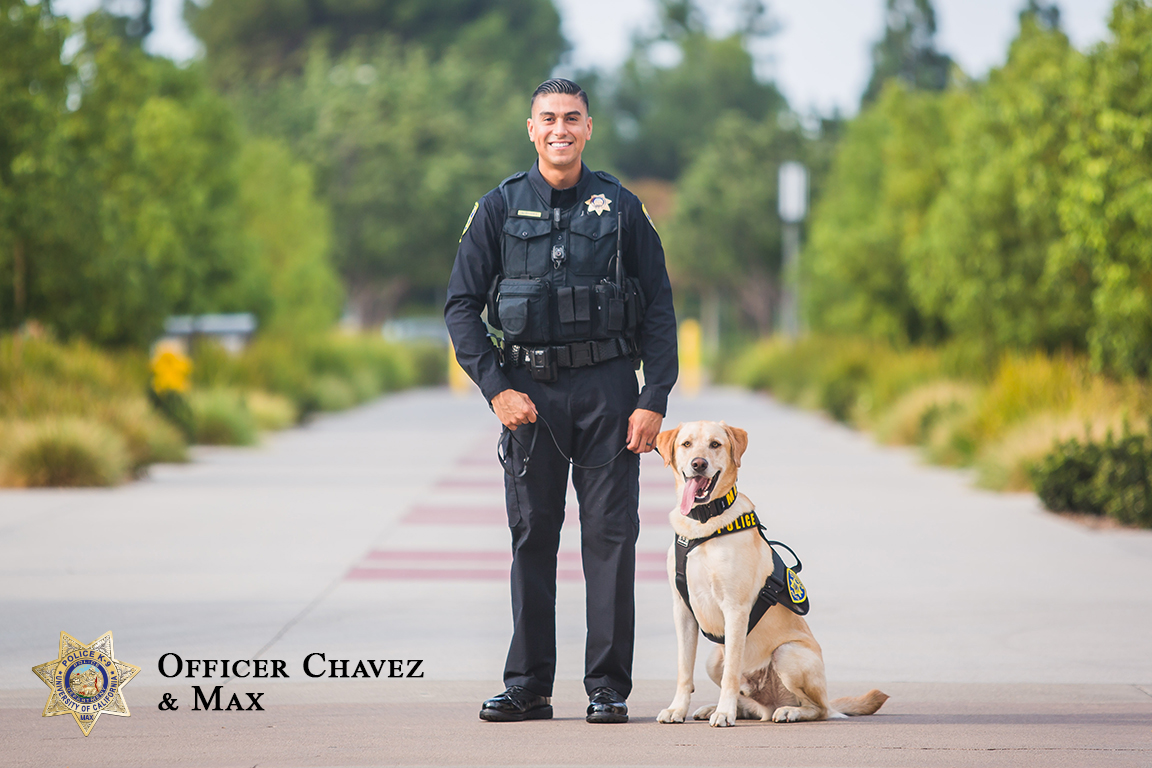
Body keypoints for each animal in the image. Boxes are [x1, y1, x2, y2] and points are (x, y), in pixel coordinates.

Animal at [654, 421, 884, 727]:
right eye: (687, 444)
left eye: (715, 444)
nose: (698, 464)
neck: (704, 523)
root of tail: (769, 703)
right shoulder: (682, 609)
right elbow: (683, 670)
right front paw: (677, 709)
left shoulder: (735, 609)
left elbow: (731, 675)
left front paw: (724, 713)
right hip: (714, 659)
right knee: (751, 702)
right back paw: (719, 708)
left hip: (788, 653)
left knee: (818, 708)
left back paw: (787, 711)